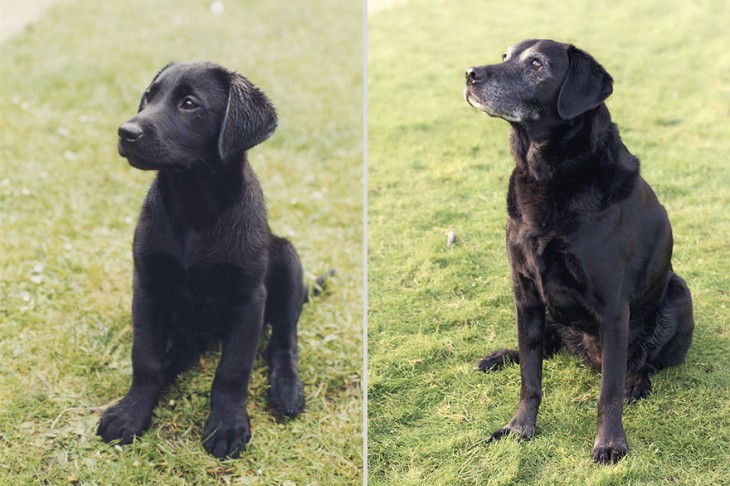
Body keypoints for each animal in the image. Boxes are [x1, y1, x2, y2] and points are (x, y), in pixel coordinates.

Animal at [96, 61, 308, 460]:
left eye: (190, 104)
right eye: (148, 97)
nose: (125, 132)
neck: (192, 205)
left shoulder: (248, 299)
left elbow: (232, 371)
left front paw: (227, 426)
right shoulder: (148, 287)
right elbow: (145, 358)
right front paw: (132, 411)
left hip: (288, 260)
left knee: (284, 339)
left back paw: (286, 388)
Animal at [464, 40, 692, 464]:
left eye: (537, 65)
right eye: (505, 57)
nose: (470, 73)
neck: (546, 173)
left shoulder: (613, 307)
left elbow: (608, 392)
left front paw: (610, 443)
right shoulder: (526, 295)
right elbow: (530, 378)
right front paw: (519, 427)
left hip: (678, 293)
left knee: (644, 364)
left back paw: (637, 383)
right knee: (543, 347)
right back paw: (501, 356)